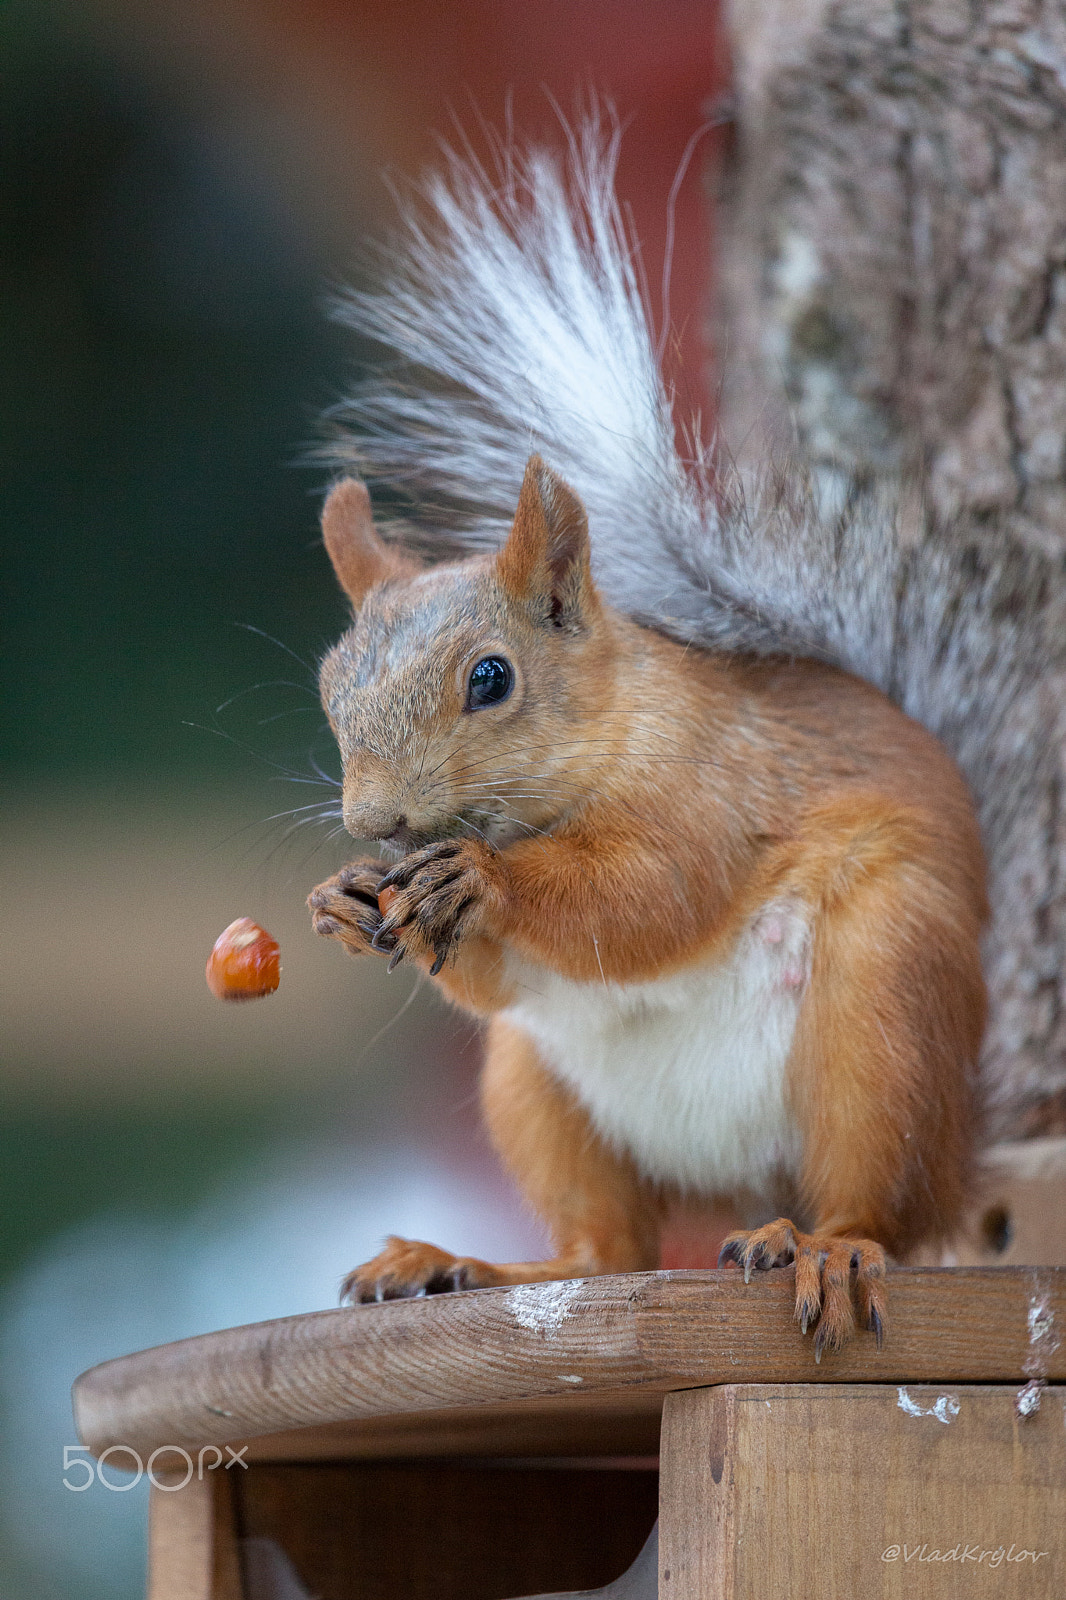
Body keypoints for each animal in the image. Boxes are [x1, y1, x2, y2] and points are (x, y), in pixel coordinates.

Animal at [305, 118, 1043, 1356]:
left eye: (491, 679)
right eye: (328, 684)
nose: (375, 819)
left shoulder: (710, 788)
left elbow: (645, 896)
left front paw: (486, 878)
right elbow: (495, 980)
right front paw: (347, 898)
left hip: (881, 1014)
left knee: (876, 1205)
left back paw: (825, 1247)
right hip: (536, 1088)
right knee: (607, 1249)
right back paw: (460, 1263)